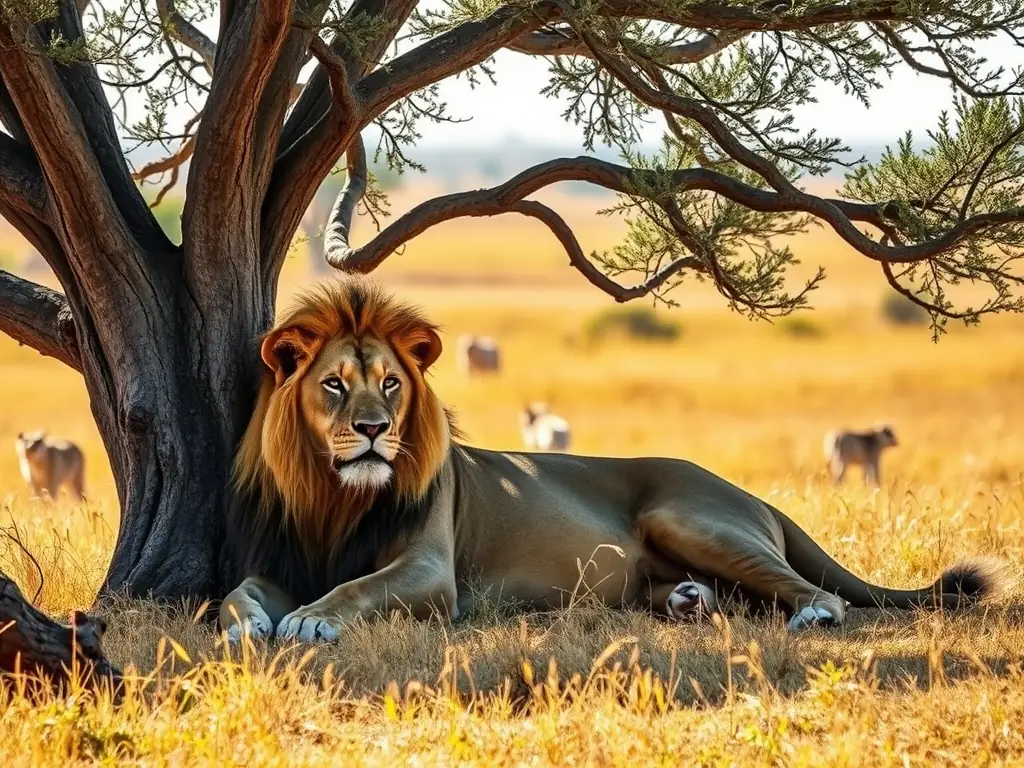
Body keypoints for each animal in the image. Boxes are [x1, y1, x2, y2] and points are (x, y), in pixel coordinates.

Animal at [222, 282, 999, 643]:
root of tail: (754, 496)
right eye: (333, 384)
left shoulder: (431, 573)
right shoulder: (281, 562)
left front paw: (311, 622)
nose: (375, 430)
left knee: (823, 594)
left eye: (390, 383)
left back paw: (809, 616)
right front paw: (246, 625)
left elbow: (357, 589)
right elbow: (238, 592)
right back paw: (691, 603)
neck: (335, 497)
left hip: (687, 517)